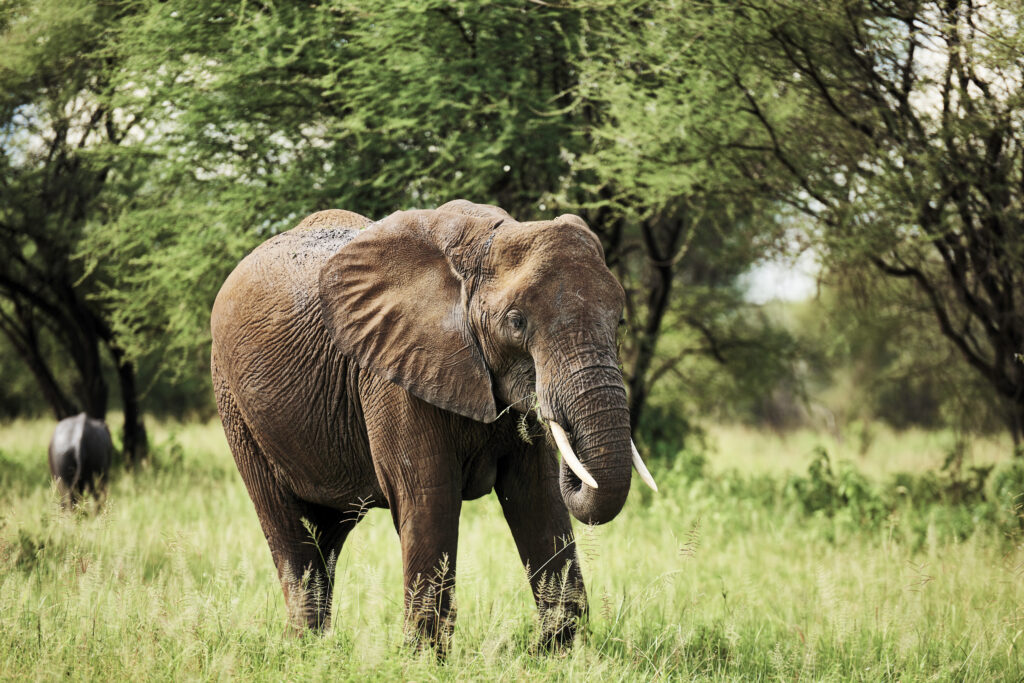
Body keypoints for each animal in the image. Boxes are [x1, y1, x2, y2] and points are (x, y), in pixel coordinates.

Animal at [209, 200, 657, 653]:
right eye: (516, 322)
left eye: (620, 322)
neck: (487, 239)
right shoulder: (395, 370)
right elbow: (429, 496)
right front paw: (423, 658)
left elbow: (537, 496)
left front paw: (554, 653)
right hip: (235, 404)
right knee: (292, 535)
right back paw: (306, 650)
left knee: (326, 537)